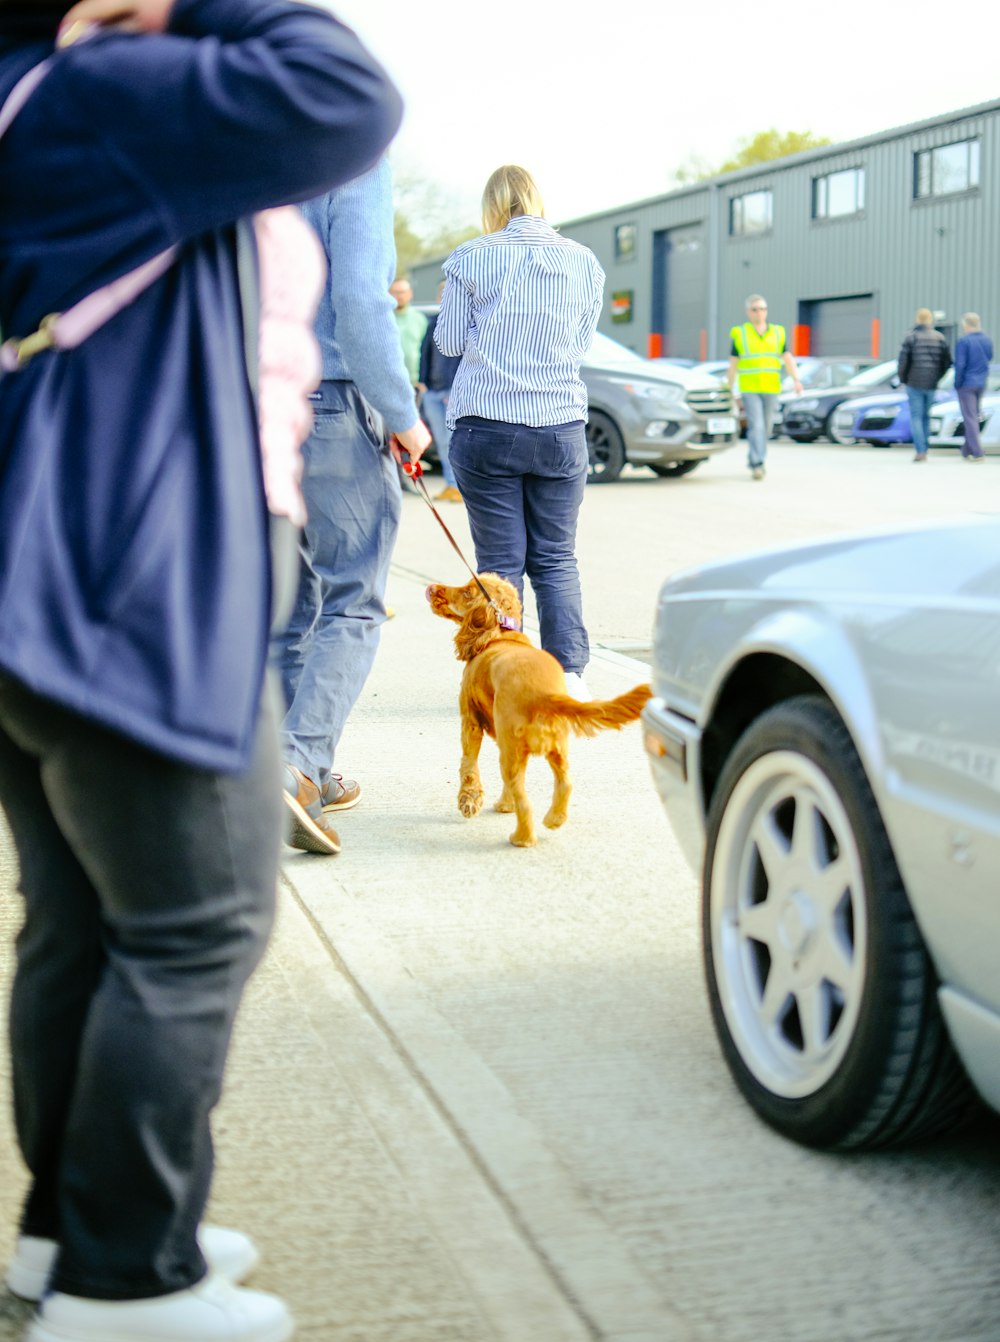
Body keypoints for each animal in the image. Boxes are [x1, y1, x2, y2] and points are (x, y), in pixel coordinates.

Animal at [424, 577, 652, 848]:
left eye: (468, 591)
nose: (432, 588)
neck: (500, 634)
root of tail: (544, 693)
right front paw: (504, 805)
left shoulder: (470, 721)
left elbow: (468, 765)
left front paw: (469, 801)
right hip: (554, 748)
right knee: (565, 784)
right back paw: (554, 819)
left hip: (512, 752)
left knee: (525, 801)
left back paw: (522, 838)